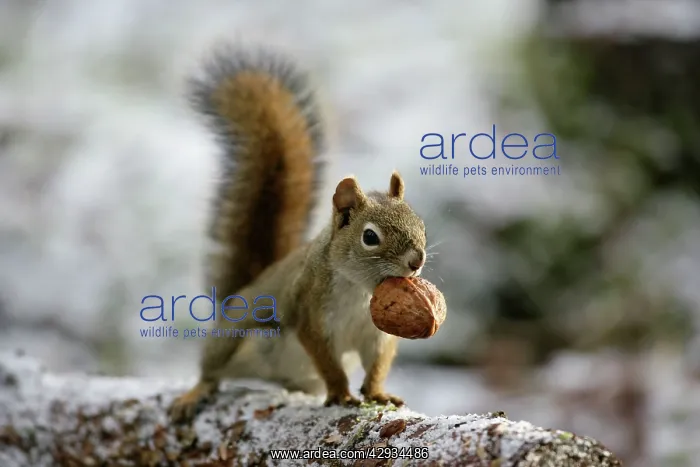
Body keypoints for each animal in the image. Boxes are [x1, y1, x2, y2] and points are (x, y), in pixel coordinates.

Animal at [169, 44, 428, 422]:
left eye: (420, 223)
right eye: (370, 237)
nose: (416, 261)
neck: (359, 290)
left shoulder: (377, 335)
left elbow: (377, 365)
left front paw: (378, 393)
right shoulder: (310, 314)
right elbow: (328, 362)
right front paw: (342, 393)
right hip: (230, 340)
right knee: (211, 371)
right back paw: (196, 392)